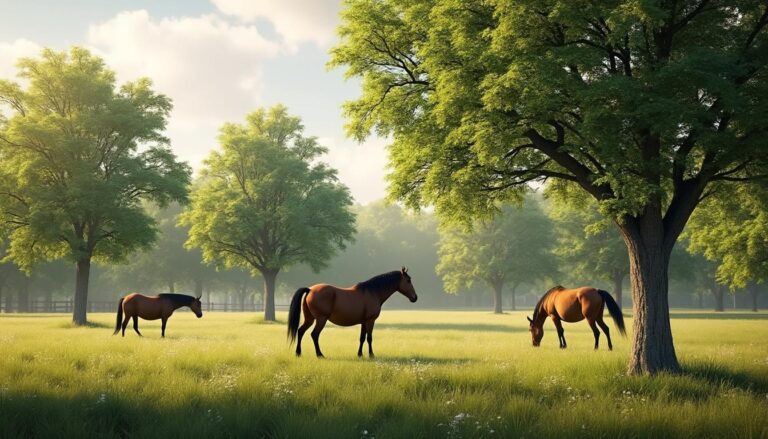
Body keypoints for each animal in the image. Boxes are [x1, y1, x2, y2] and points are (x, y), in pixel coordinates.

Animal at [287, 267, 418, 358]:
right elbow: (369, 338)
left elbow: (362, 338)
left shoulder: (364, 322)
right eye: (408, 280)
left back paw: (298, 353)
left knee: (301, 331)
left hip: (310, 319)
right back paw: (320, 355)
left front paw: (360, 354)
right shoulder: (370, 321)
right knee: (314, 335)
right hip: (321, 319)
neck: (373, 292)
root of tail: (310, 289)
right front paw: (371, 355)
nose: (415, 298)